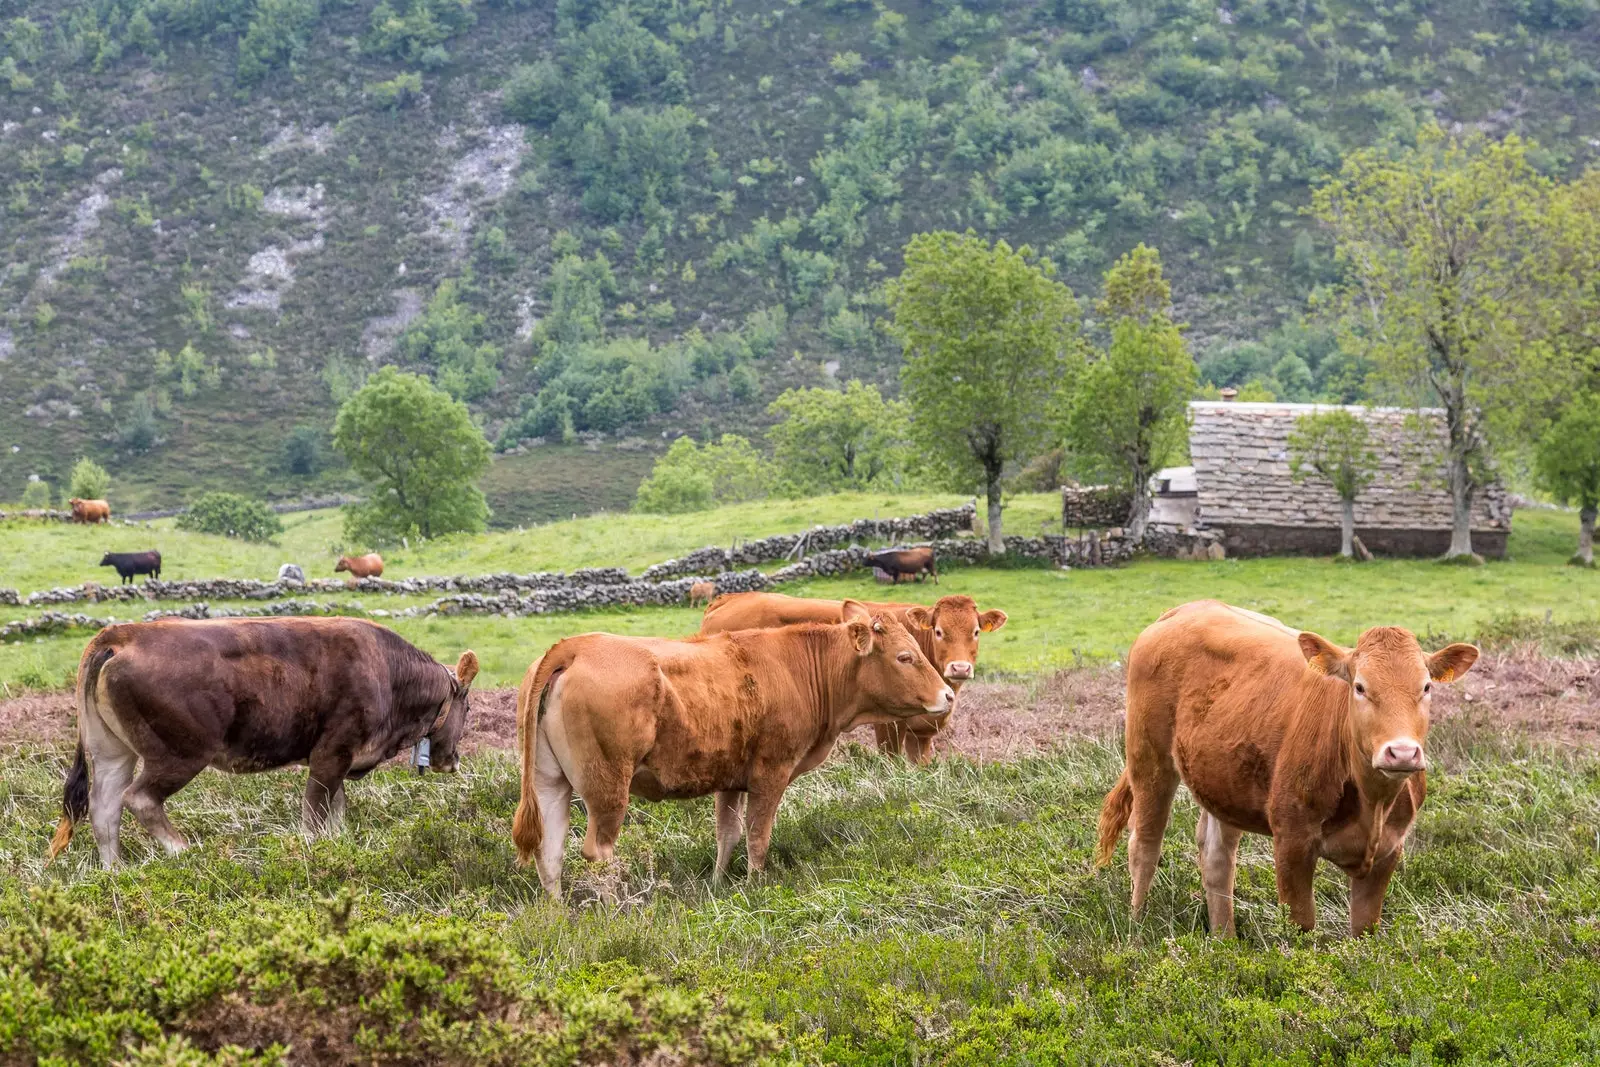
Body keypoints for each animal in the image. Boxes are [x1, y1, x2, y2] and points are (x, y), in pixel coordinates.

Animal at [46, 617, 476, 870]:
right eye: (469, 707)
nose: (453, 760)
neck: (388, 672)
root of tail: (123, 634)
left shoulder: (336, 758)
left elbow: (336, 814)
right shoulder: (332, 752)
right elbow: (315, 816)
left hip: (112, 750)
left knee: (104, 807)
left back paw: (115, 872)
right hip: (180, 753)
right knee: (138, 798)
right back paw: (186, 851)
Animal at [512, 604, 947, 895]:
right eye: (905, 657)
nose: (947, 695)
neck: (798, 667)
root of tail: (576, 646)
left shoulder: (730, 779)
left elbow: (728, 834)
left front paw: (719, 884)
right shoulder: (771, 772)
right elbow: (757, 834)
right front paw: (755, 887)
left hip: (549, 783)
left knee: (549, 852)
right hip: (607, 786)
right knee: (597, 852)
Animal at [697, 591, 1004, 767]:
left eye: (976, 632)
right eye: (939, 631)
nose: (960, 668)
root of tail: (730, 598)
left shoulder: (922, 734)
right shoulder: (889, 726)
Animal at [1094, 604, 1478, 940]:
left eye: (1426, 687)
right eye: (1360, 687)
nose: (1402, 753)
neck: (1373, 805)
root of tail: (1188, 609)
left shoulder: (1389, 851)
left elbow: (1365, 929)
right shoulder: (1292, 841)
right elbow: (1301, 924)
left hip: (1224, 782)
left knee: (1216, 856)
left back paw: (1225, 942)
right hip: (1149, 758)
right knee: (1145, 844)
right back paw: (1137, 928)